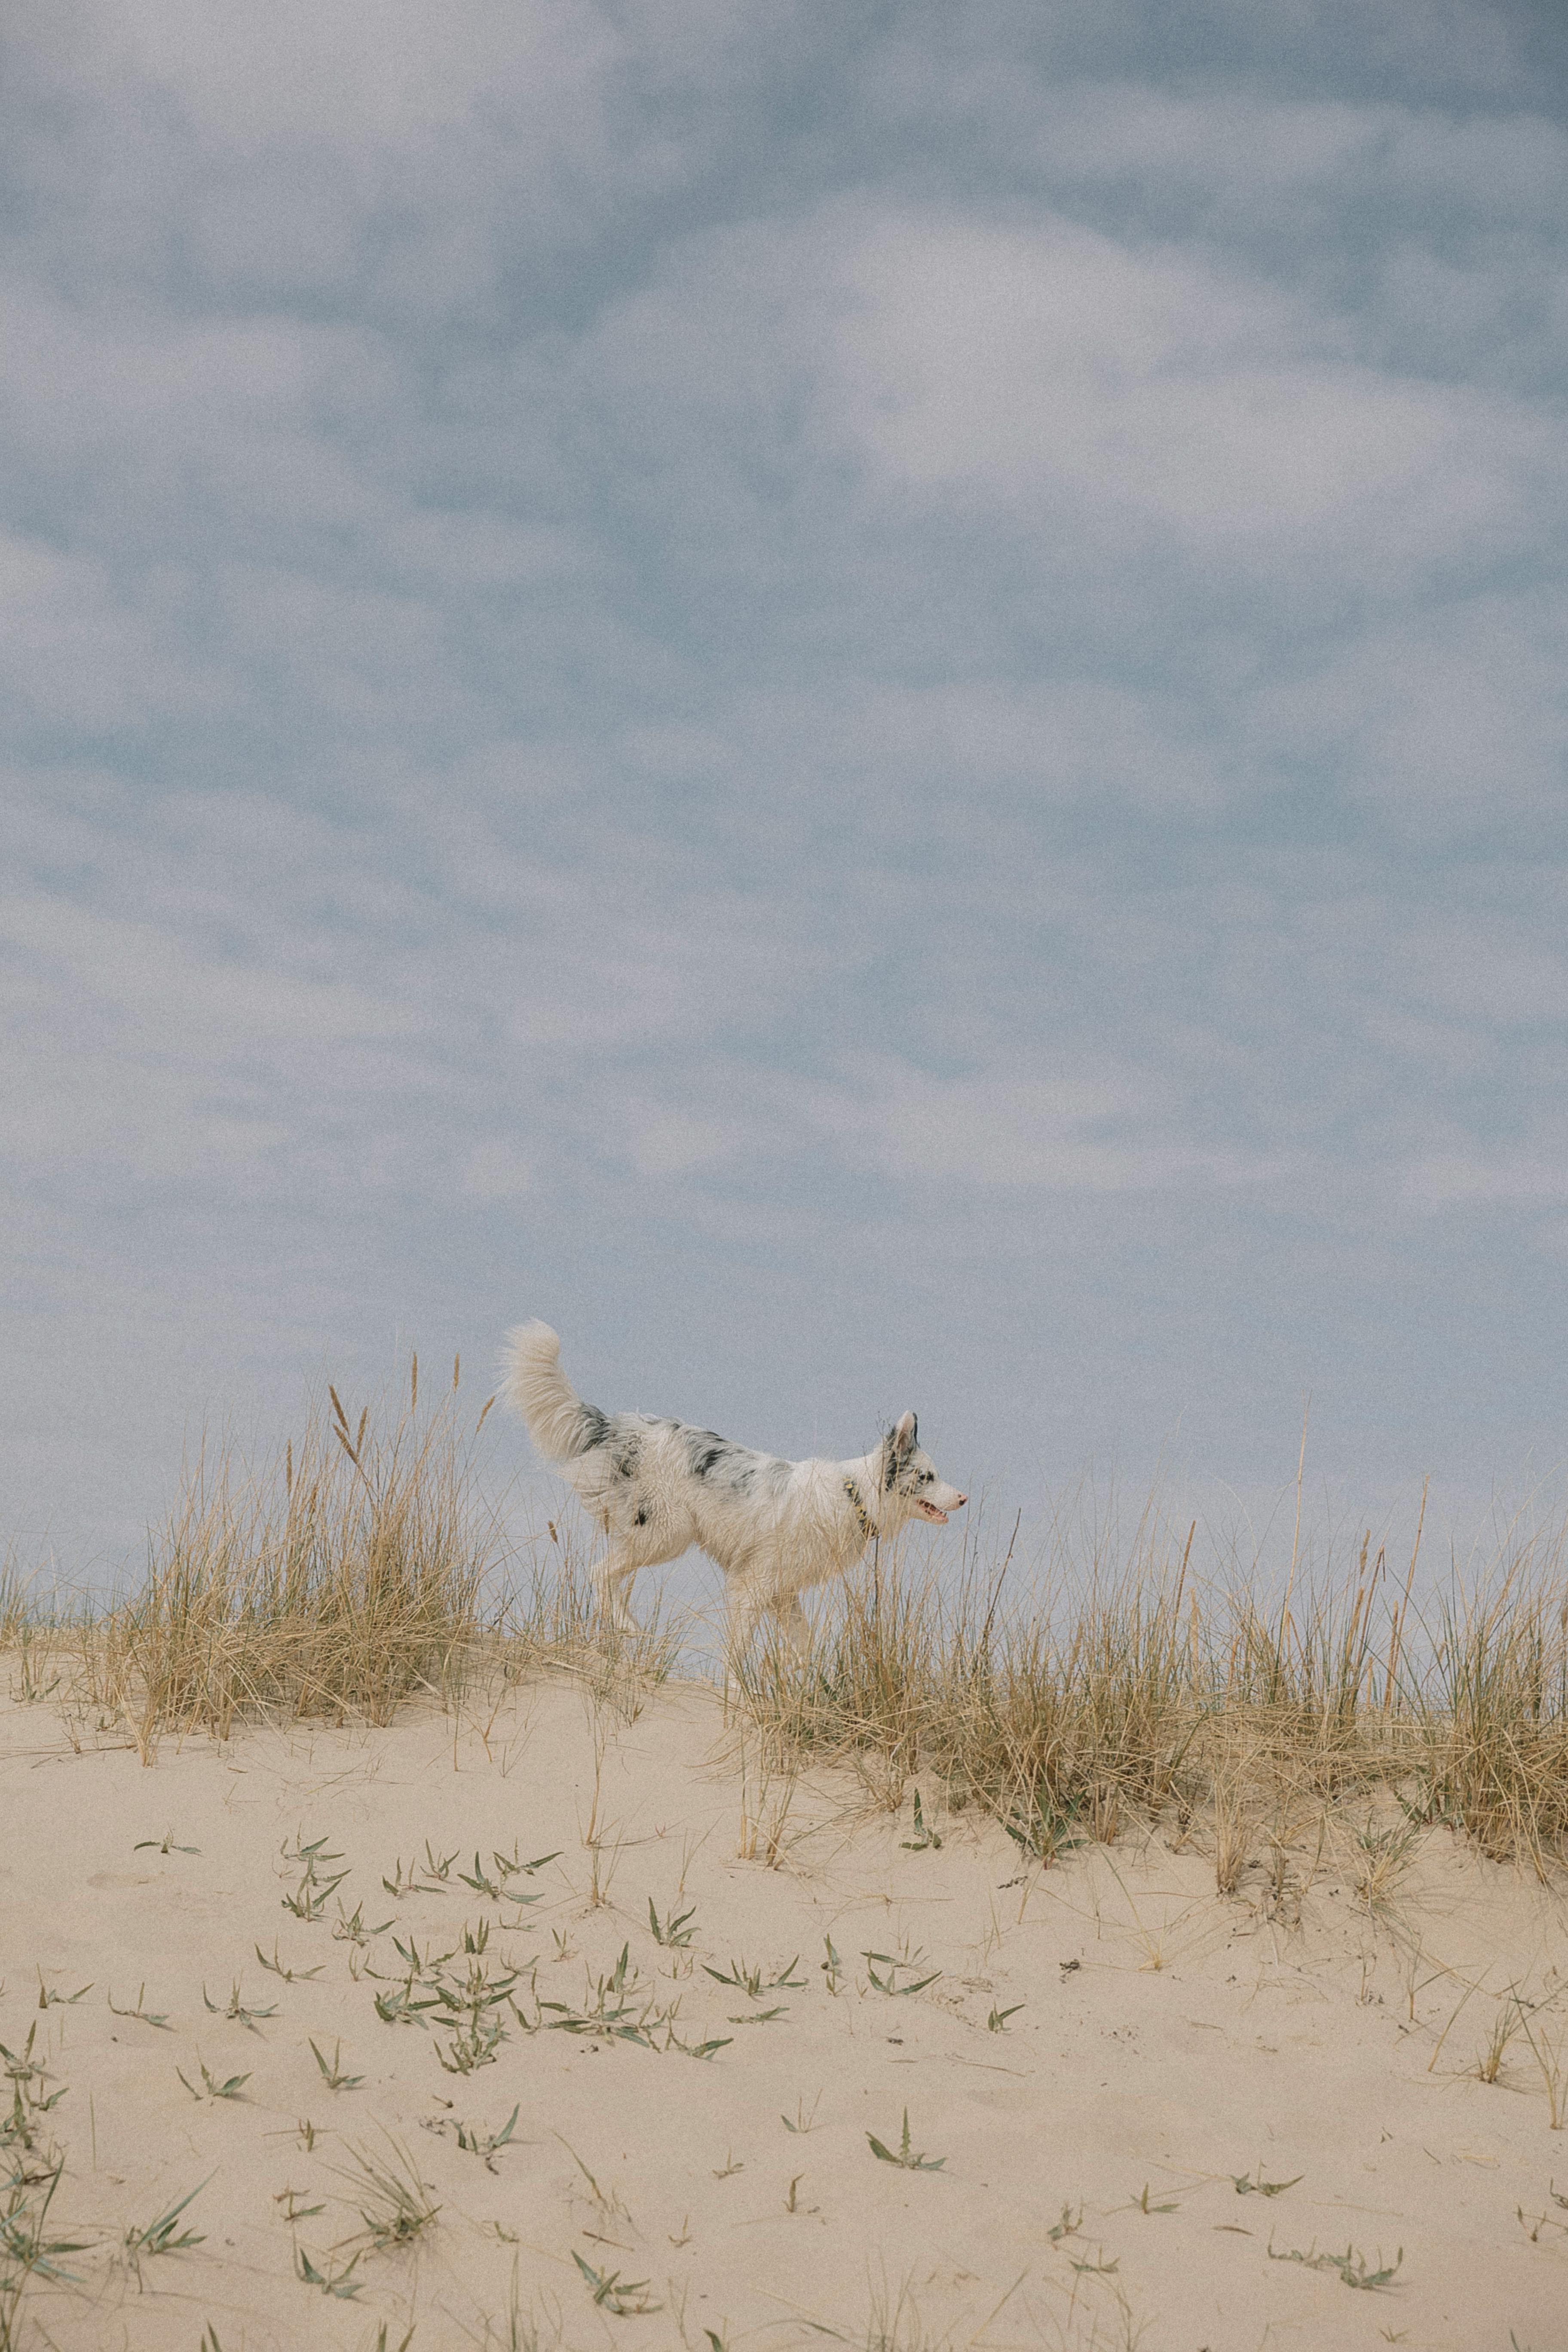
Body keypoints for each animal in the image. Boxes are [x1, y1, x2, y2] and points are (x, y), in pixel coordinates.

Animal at [503, 1326, 968, 1656]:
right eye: (928, 1476)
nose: (964, 1498)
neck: (854, 1496)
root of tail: (625, 1427)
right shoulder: (752, 1586)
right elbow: (738, 1651)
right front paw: (738, 1695)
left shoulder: (783, 1594)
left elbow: (804, 1647)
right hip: (667, 1534)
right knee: (600, 1573)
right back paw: (629, 1627)